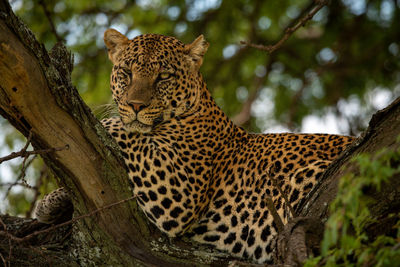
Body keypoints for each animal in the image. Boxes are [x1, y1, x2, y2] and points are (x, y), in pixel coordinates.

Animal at [36, 28, 354, 264]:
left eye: (163, 76)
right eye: (126, 72)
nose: (136, 105)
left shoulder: (178, 189)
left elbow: (123, 130)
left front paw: (109, 122)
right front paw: (50, 203)